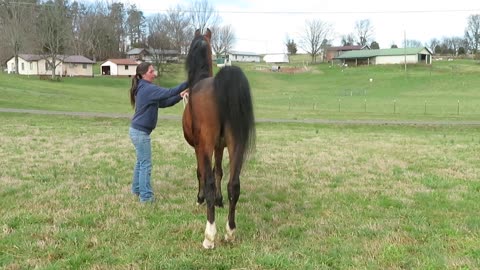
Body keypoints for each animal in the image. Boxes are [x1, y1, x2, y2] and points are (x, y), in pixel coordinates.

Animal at [182, 28, 255, 249]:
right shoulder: (220, 147)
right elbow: (219, 172)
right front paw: (220, 200)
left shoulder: (199, 147)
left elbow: (202, 172)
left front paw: (200, 199)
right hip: (235, 144)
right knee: (234, 184)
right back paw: (230, 232)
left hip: (206, 145)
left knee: (208, 182)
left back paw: (209, 236)